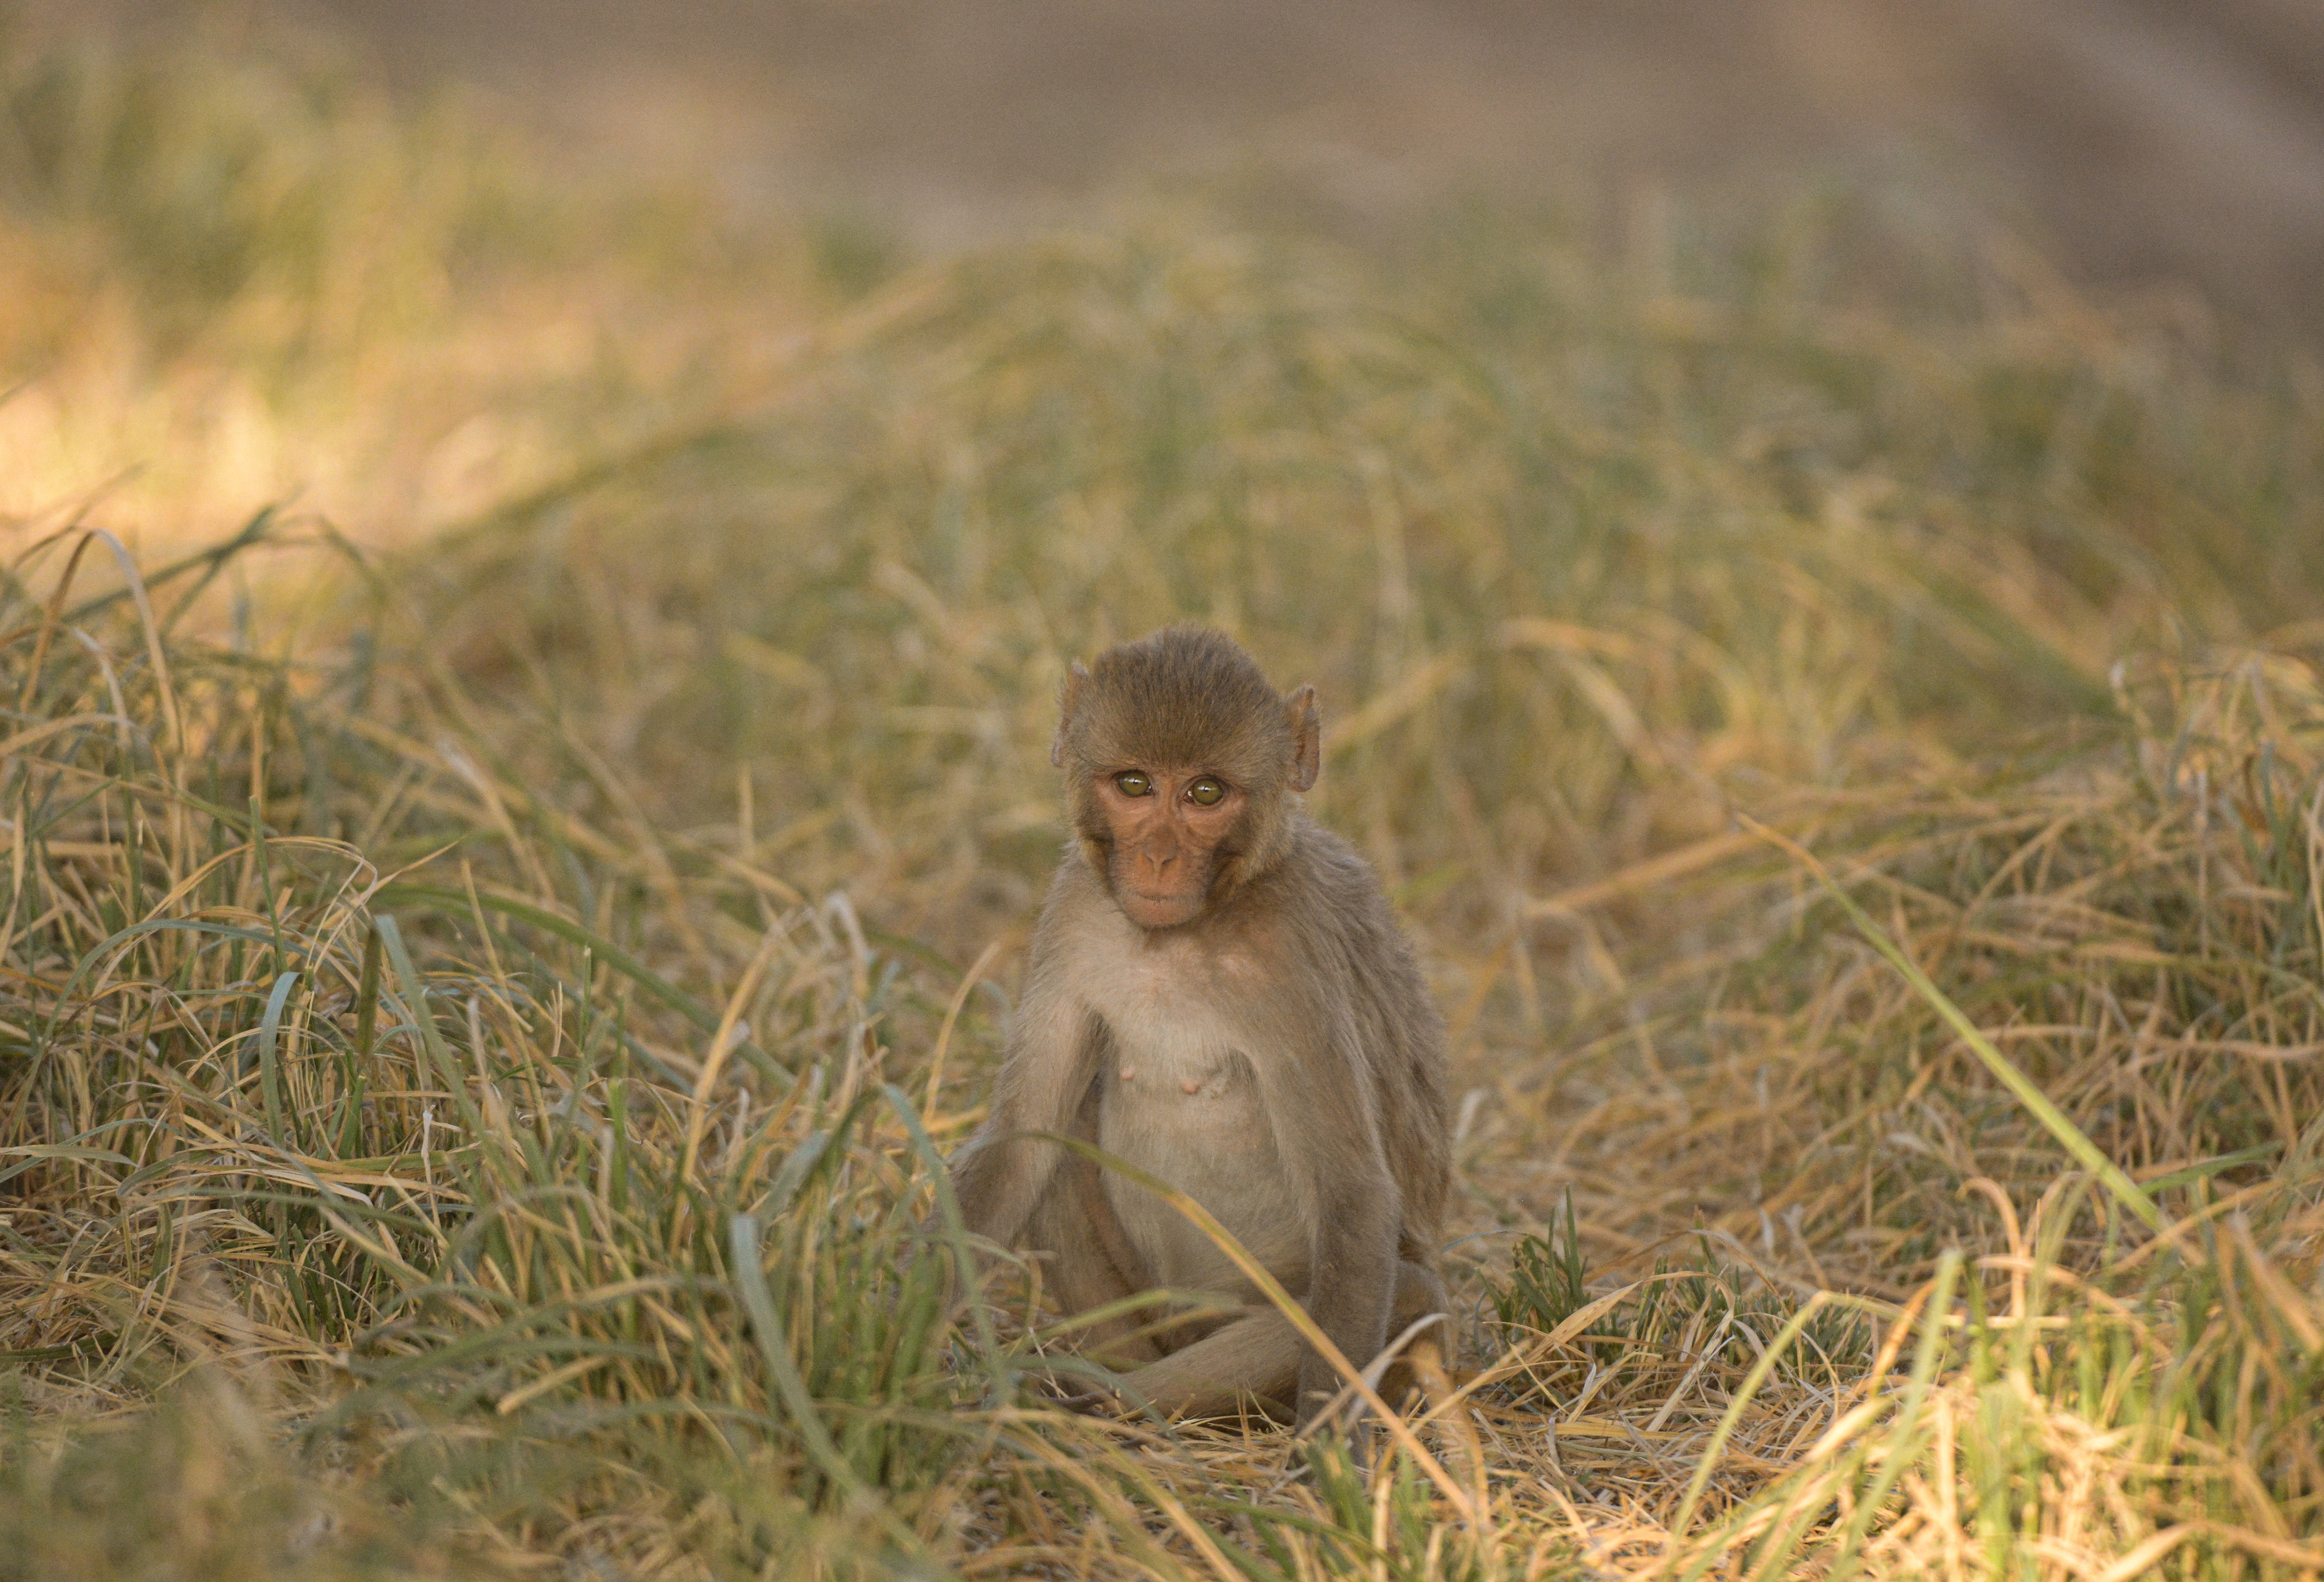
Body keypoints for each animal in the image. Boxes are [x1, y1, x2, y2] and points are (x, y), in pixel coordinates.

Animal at [940, 625, 1451, 1429]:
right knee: (1054, 1151)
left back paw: (1098, 1401)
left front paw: (1325, 1456)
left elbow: (1353, 1197)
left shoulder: (1291, 952)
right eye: (1134, 785)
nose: (1158, 857)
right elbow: (1018, 1143)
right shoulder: (1077, 910)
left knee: (1409, 1294)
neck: (1177, 939)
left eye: (1205, 793)